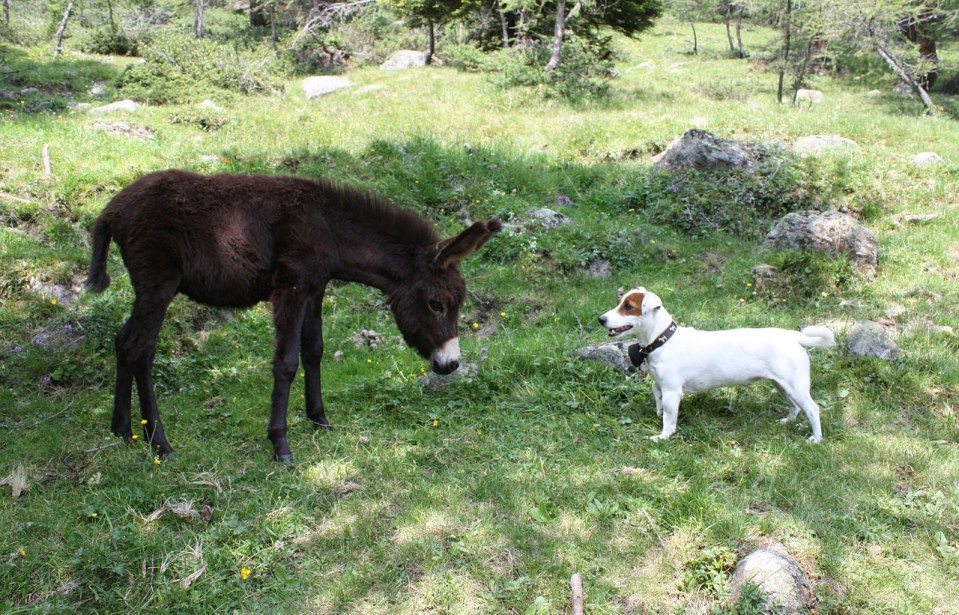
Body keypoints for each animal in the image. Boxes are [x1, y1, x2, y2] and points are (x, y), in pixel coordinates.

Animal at [600, 288, 832, 442]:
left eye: (628, 307)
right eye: (620, 302)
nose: (601, 319)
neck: (663, 340)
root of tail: (794, 337)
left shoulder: (673, 392)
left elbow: (669, 420)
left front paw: (664, 436)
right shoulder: (661, 386)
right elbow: (657, 396)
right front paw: (658, 411)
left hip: (795, 386)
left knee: (812, 409)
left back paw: (816, 438)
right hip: (782, 386)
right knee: (795, 407)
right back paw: (788, 421)